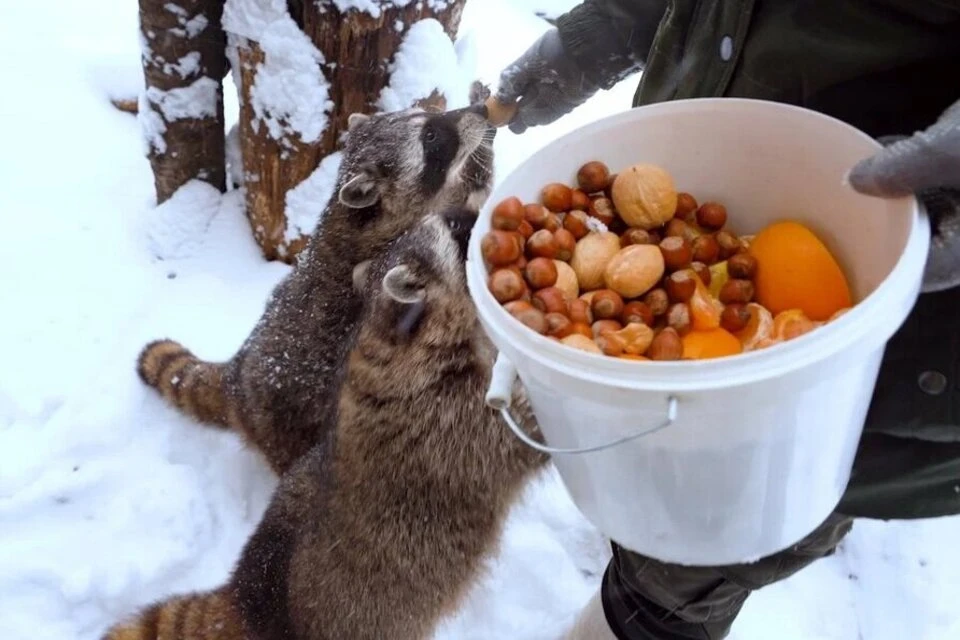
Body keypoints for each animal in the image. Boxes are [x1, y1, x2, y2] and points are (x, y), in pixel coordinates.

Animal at [102, 209, 552, 640]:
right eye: (460, 233)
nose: (482, 217)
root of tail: (247, 598)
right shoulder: (447, 418)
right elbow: (519, 435)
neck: (390, 331)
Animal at [137, 95, 496, 476]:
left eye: (427, 116)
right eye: (430, 137)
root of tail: (237, 376)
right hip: (286, 424)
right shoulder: (408, 247)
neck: (365, 216)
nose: (481, 112)